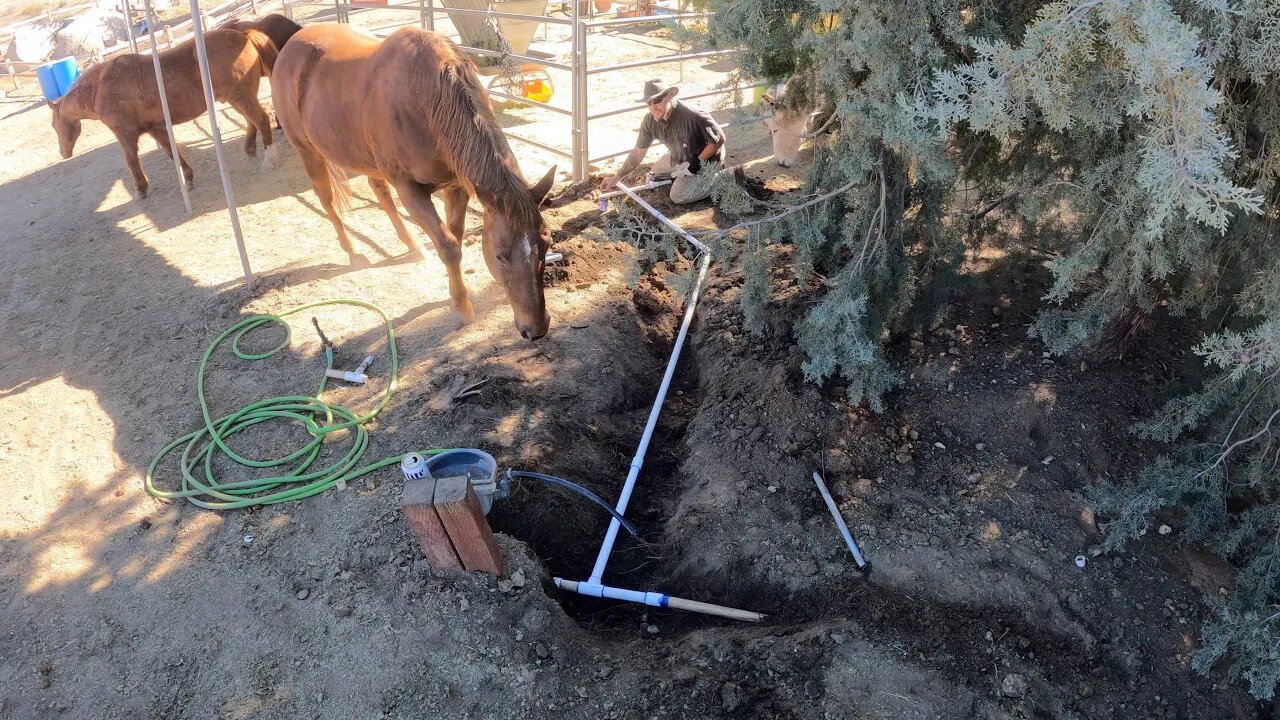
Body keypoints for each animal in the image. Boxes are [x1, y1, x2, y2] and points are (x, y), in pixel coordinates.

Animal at [51, 27, 280, 196]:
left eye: (54, 125)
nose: (63, 153)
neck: (101, 86)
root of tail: (243, 34)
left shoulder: (125, 135)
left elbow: (131, 159)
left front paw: (141, 188)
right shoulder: (157, 128)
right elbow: (172, 151)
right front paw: (188, 178)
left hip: (241, 97)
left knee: (261, 120)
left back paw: (268, 161)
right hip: (235, 100)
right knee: (252, 121)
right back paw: (250, 149)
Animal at [272, 26, 558, 340]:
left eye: (547, 244)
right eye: (500, 256)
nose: (536, 328)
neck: (429, 99)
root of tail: (290, 46)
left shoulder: (456, 186)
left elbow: (455, 238)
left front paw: (456, 293)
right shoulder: (410, 191)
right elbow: (448, 247)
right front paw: (461, 307)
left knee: (379, 191)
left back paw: (414, 246)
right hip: (308, 152)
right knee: (327, 199)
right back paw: (354, 252)